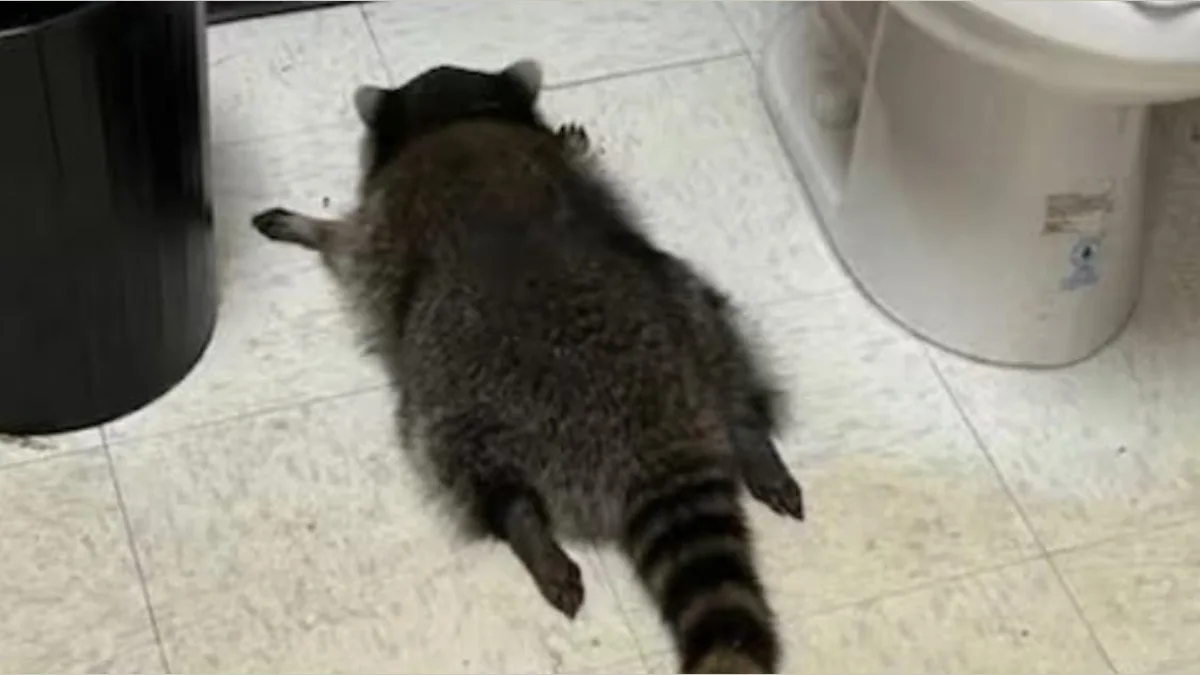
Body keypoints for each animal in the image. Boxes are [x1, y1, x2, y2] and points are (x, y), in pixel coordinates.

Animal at [251, 59, 804, 674]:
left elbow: (348, 244)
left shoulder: (383, 221)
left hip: (466, 393)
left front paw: (312, 227)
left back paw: (523, 524)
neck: (456, 115)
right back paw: (749, 432)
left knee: (460, 460)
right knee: (722, 342)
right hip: (688, 312)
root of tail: (654, 434)